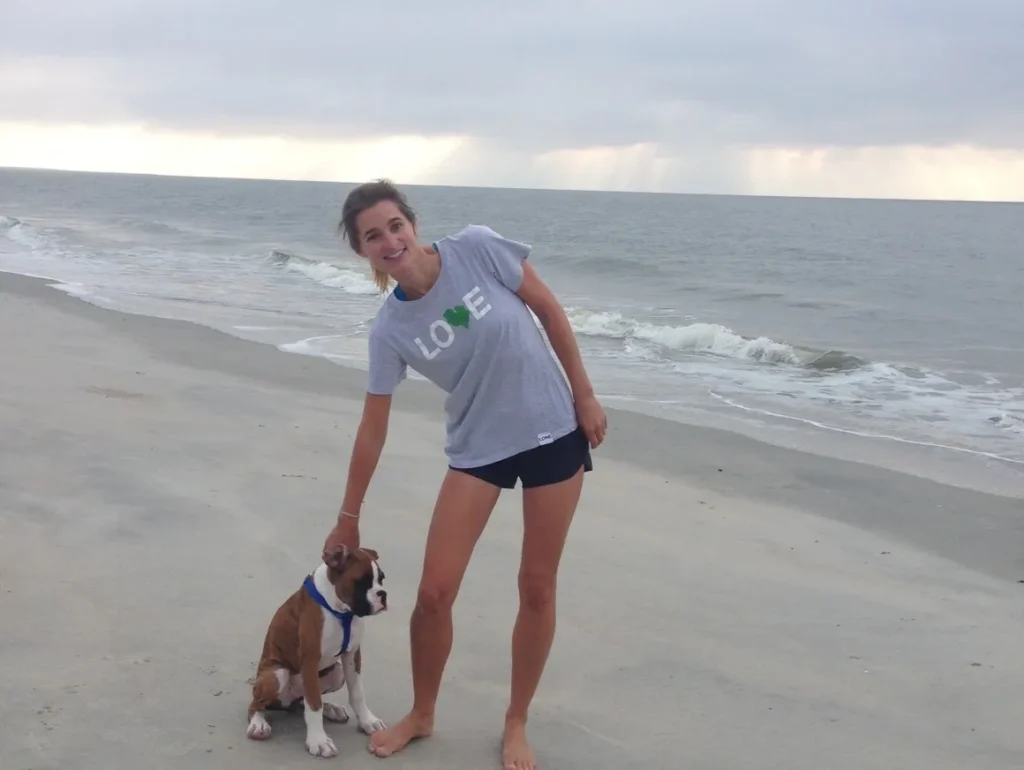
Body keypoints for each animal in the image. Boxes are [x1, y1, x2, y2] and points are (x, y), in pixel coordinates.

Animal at [246, 540, 387, 757]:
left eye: (381, 579)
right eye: (361, 582)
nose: (382, 594)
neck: (340, 610)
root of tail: (287, 702)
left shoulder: (352, 654)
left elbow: (357, 693)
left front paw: (367, 721)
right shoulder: (310, 659)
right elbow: (313, 705)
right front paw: (318, 741)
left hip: (336, 673)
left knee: (303, 701)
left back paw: (331, 709)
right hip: (276, 675)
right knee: (256, 705)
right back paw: (258, 724)